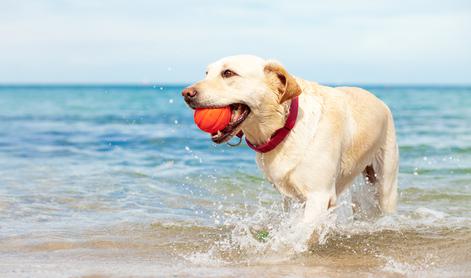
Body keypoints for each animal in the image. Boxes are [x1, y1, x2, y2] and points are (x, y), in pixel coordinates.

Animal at [182, 54, 398, 226]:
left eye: (228, 73)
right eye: (206, 73)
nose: (186, 94)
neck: (285, 127)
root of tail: (379, 100)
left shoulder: (319, 195)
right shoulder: (290, 197)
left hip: (385, 184)